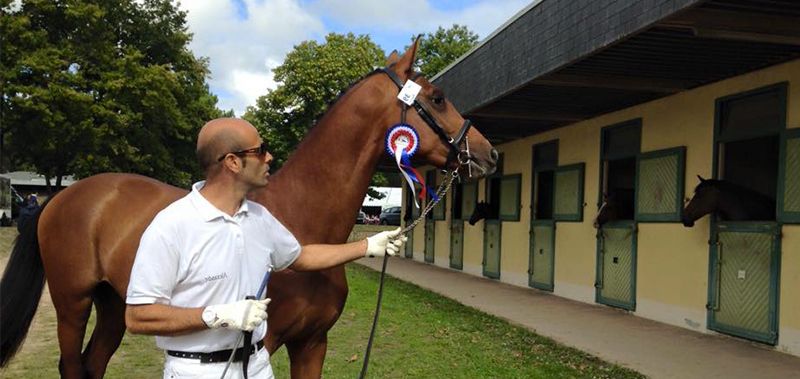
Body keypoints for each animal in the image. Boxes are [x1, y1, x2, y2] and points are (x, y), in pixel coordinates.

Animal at [0, 42, 496, 379]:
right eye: (437, 98)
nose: (487, 154)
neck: (303, 216)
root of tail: (60, 199)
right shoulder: (263, 343)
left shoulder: (312, 343)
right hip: (73, 303)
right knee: (72, 365)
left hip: (113, 305)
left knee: (94, 363)